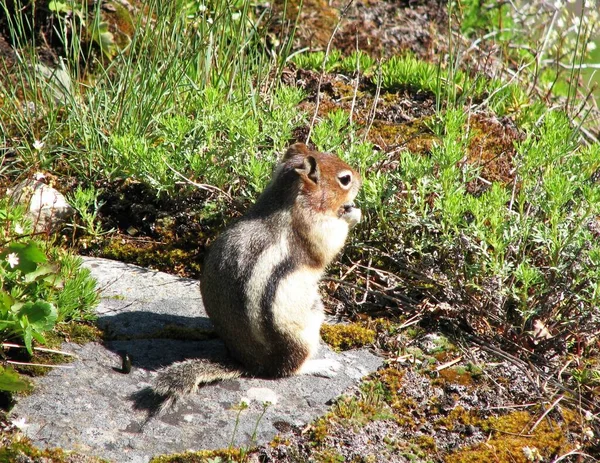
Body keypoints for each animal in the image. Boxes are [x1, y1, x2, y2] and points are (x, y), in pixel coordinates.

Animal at [149, 144, 360, 414]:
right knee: (288, 370)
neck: (286, 199)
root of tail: (250, 364)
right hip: (304, 330)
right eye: (345, 179)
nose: (361, 179)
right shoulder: (311, 228)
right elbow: (329, 245)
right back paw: (322, 365)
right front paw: (353, 214)